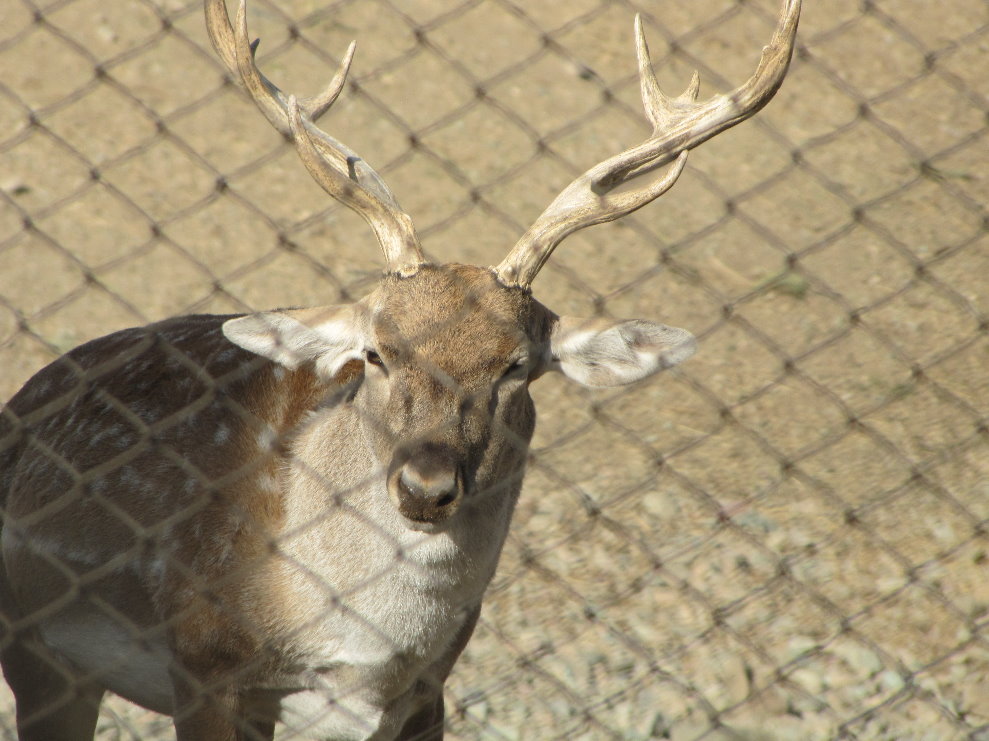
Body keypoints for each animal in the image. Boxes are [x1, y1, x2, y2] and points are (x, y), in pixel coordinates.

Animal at [0, 0, 800, 738]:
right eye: (376, 353)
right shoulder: (202, 660)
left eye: (517, 367)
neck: (358, 654)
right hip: (37, 649)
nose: (425, 486)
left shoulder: (425, 692)